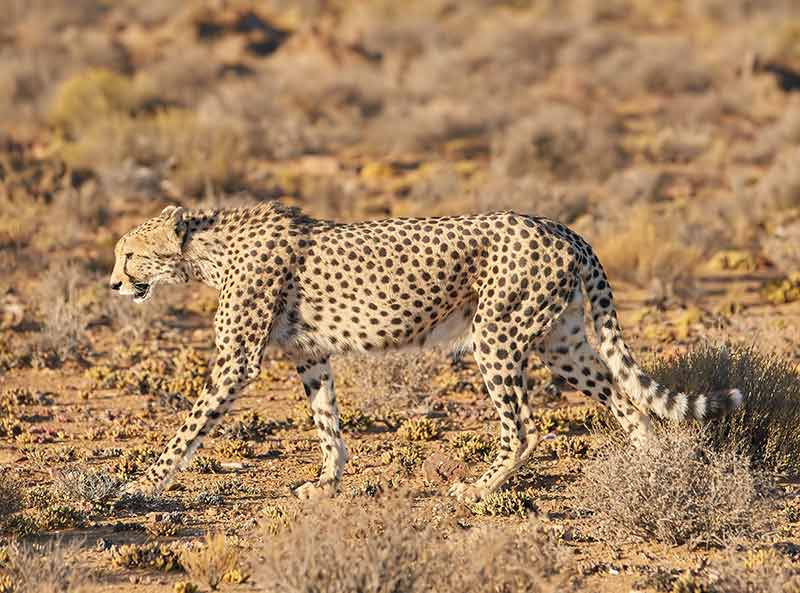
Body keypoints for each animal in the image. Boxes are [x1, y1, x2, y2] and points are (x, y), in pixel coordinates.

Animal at [109, 204, 740, 500]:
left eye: (130, 254)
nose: (114, 283)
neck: (208, 251)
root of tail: (560, 227)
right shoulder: (310, 354)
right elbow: (327, 423)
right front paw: (327, 481)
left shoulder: (238, 360)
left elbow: (189, 427)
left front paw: (145, 483)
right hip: (561, 341)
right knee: (629, 403)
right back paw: (654, 471)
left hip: (496, 336)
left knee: (526, 427)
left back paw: (480, 487)